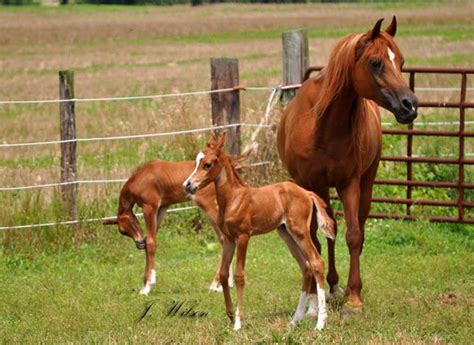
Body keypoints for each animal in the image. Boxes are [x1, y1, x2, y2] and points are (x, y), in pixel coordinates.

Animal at [183, 133, 336, 330]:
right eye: (196, 162)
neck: (233, 199)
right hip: (286, 233)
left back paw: (320, 323)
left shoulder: (243, 236)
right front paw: (230, 314)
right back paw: (295, 320)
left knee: (317, 262)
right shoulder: (229, 239)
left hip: (300, 231)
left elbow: (239, 275)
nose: (187, 185)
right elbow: (224, 274)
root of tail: (307, 193)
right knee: (306, 266)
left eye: (207, 164)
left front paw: (238, 322)